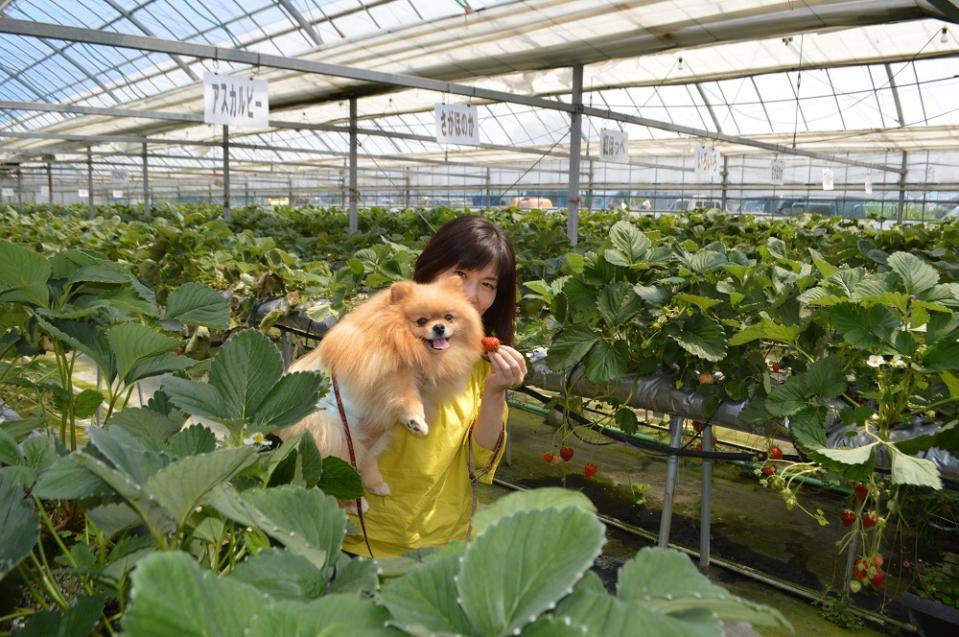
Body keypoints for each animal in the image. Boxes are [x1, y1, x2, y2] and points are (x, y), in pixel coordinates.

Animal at [282, 276, 484, 500]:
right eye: (421, 321)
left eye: (449, 317)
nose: (439, 327)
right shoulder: (389, 373)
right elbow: (407, 396)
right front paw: (417, 421)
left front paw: (412, 423)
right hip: (332, 434)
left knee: (365, 461)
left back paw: (377, 486)